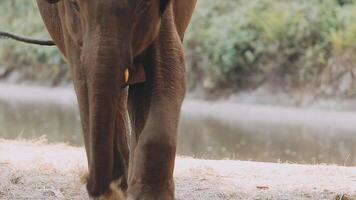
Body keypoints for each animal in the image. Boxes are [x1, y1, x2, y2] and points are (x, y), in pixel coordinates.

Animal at [35, 0, 197, 199]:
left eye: (142, 5)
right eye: (75, 5)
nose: (85, 179)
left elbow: (169, 71)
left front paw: (148, 195)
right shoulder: (69, 29)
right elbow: (84, 87)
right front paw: (115, 191)